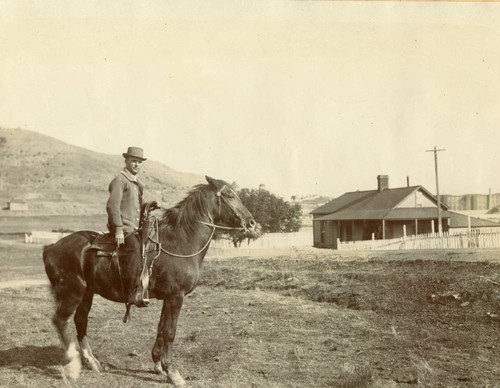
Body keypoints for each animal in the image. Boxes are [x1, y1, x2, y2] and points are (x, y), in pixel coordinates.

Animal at [41, 176, 256, 384]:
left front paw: (158, 365)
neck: (180, 242)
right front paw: (172, 372)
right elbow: (170, 332)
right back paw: (73, 366)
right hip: (72, 293)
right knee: (60, 321)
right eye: (230, 195)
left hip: (87, 293)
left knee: (80, 321)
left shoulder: (168, 297)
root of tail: (51, 246)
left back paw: (92, 362)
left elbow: (161, 328)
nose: (252, 223)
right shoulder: (176, 297)